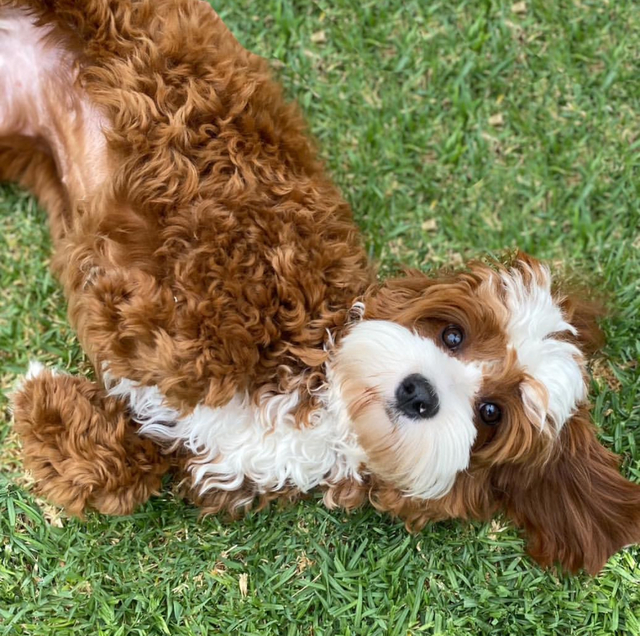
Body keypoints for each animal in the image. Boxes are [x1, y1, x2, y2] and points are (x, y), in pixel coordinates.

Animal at [2, 0, 639, 575]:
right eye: (453, 335)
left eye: (491, 414)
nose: (419, 392)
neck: (327, 408)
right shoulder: (247, 235)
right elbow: (207, 325)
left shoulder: (199, 448)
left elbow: (123, 469)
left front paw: (45, 403)